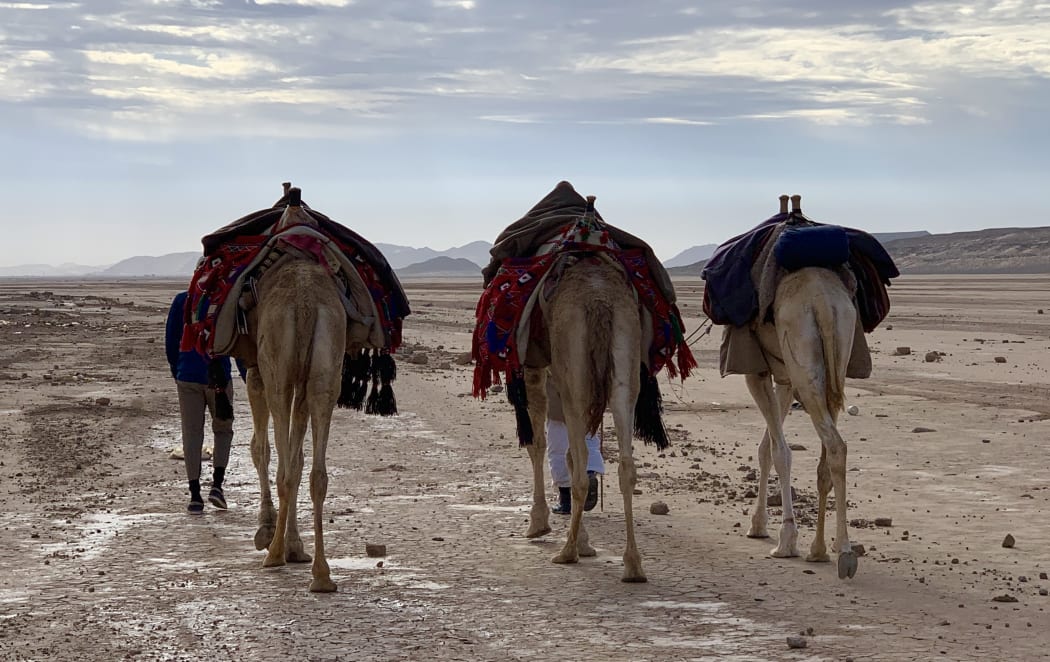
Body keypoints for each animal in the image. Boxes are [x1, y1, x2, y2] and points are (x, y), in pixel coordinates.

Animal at [522, 255, 649, 582]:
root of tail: (598, 299)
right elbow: (566, 454)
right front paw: (585, 541)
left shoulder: (533, 366)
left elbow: (537, 445)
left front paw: (538, 523)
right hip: (625, 367)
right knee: (626, 468)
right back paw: (633, 565)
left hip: (574, 382)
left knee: (579, 472)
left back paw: (567, 552)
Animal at [744, 196, 860, 579]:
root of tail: (822, 299)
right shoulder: (783, 378)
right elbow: (766, 447)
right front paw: (759, 524)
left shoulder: (757, 373)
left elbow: (779, 450)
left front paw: (784, 538)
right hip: (835, 349)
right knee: (828, 456)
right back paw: (823, 549)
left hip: (803, 362)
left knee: (836, 446)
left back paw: (842, 552)